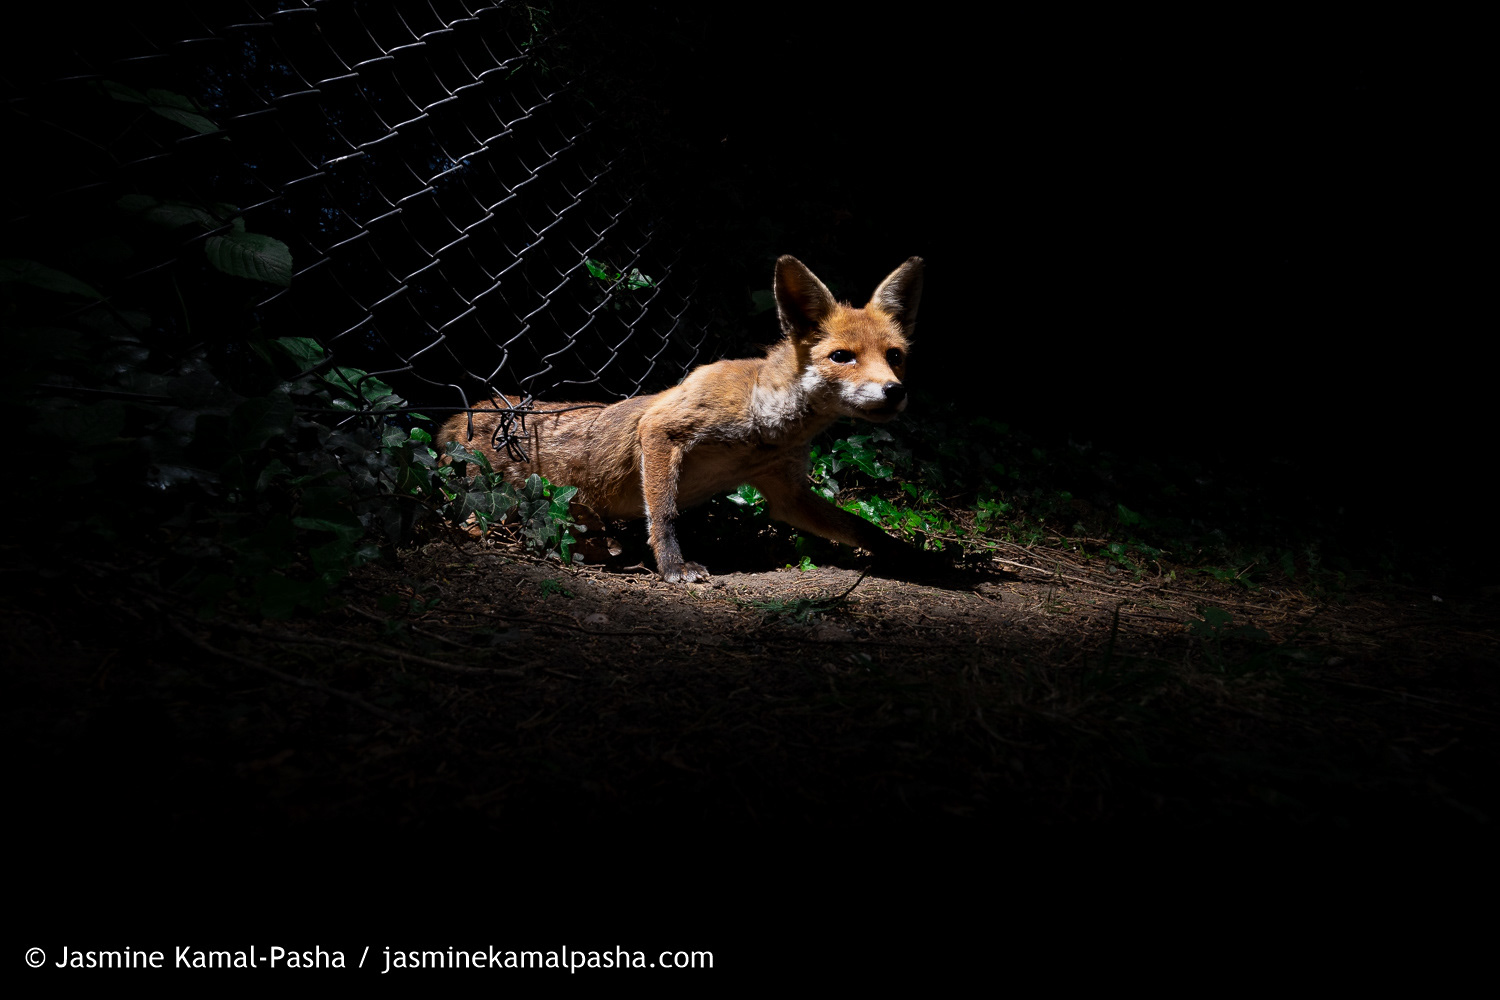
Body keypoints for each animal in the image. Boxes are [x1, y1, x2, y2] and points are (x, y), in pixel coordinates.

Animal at [437, 255, 924, 582]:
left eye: (895, 357)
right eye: (842, 357)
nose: (895, 392)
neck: (765, 428)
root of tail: (462, 415)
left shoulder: (787, 493)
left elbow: (859, 525)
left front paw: (907, 556)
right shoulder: (662, 429)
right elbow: (665, 513)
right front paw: (673, 566)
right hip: (492, 500)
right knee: (478, 522)